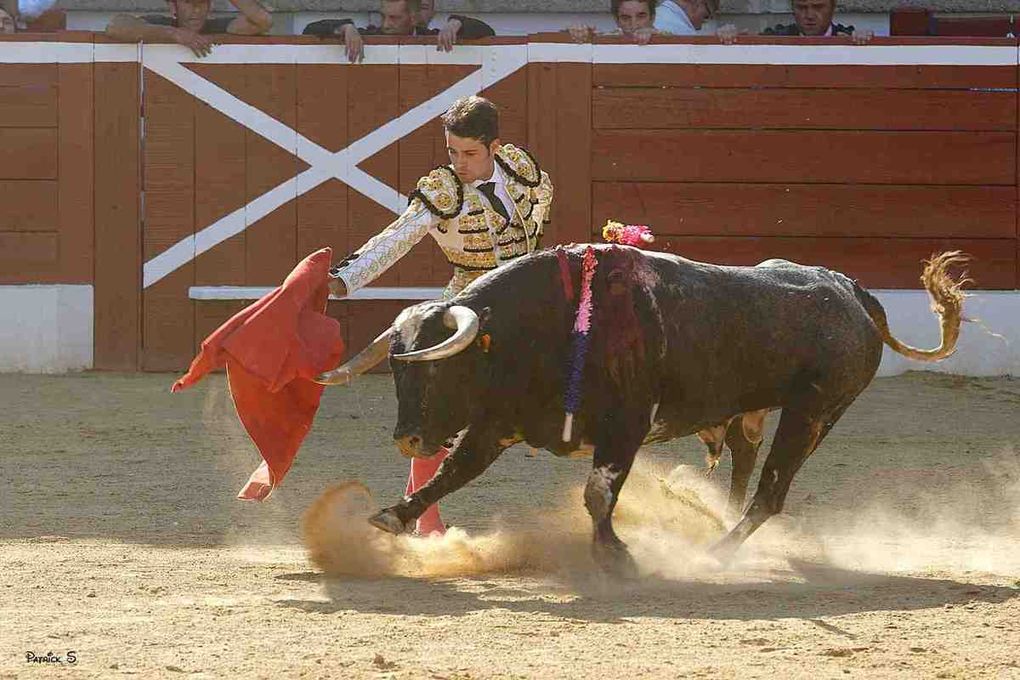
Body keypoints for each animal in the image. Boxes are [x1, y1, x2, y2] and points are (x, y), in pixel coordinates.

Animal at [318, 244, 962, 570]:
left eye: (440, 367)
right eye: (397, 368)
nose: (407, 438)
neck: (548, 325)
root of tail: (851, 291)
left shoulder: (626, 427)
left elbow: (598, 493)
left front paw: (615, 555)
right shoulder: (496, 424)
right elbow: (453, 473)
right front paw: (392, 517)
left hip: (814, 413)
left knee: (772, 492)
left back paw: (714, 553)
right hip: (757, 412)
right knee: (747, 464)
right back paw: (716, 522)